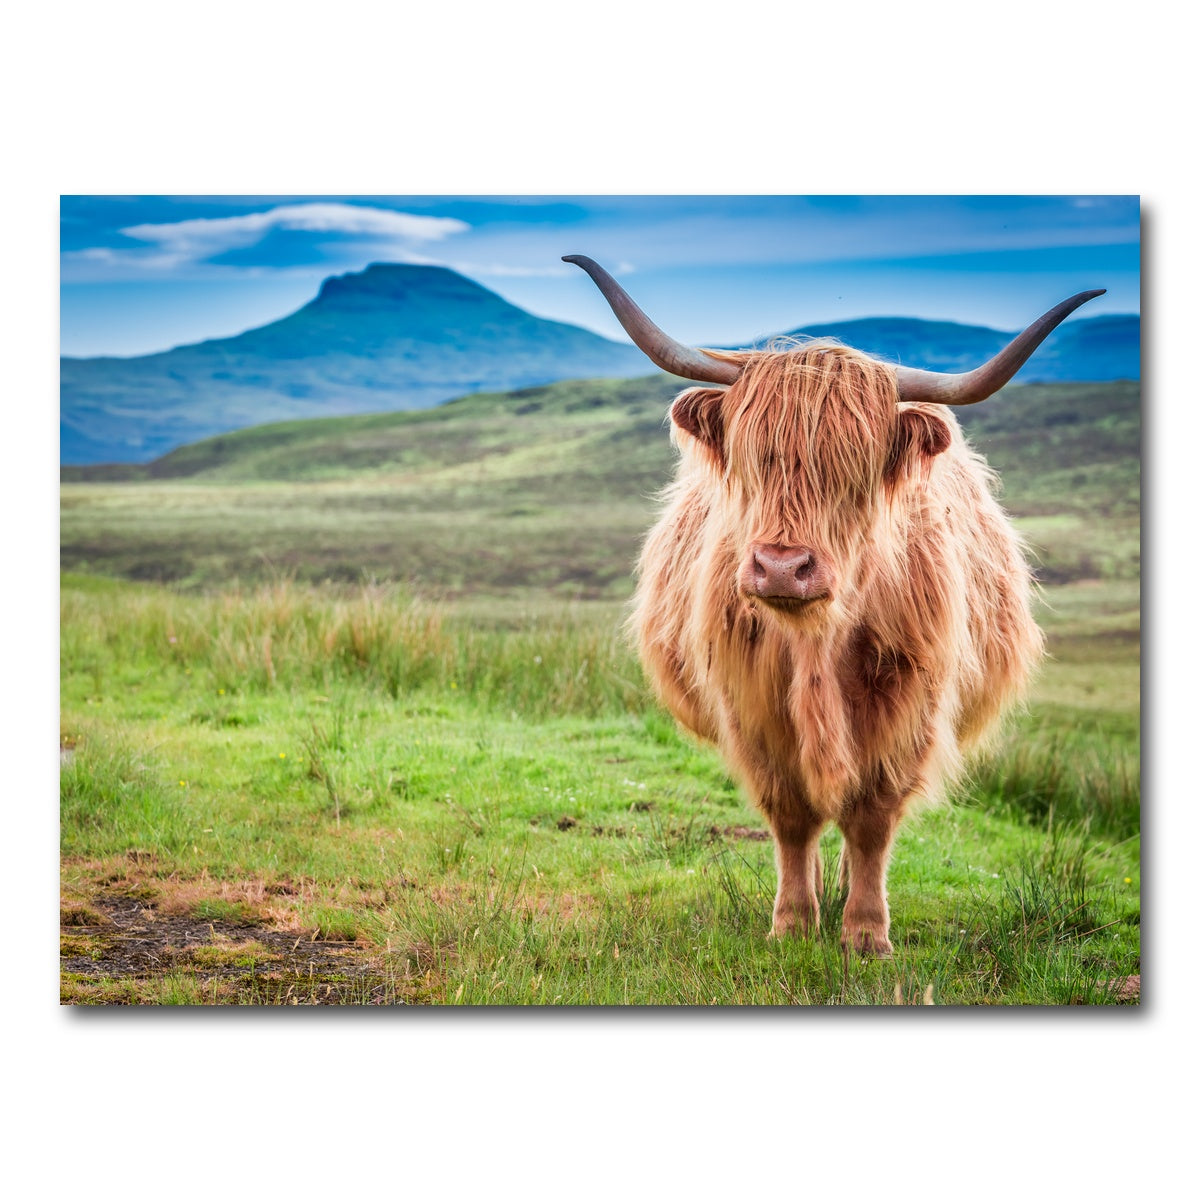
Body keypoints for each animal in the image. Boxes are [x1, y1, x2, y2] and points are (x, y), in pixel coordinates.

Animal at [564, 254, 1104, 955]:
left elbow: (872, 818)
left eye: (854, 468)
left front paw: (867, 933)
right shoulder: (752, 709)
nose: (781, 567)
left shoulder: (907, 708)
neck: (816, 641)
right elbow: (792, 817)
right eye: (753, 461)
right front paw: (793, 921)